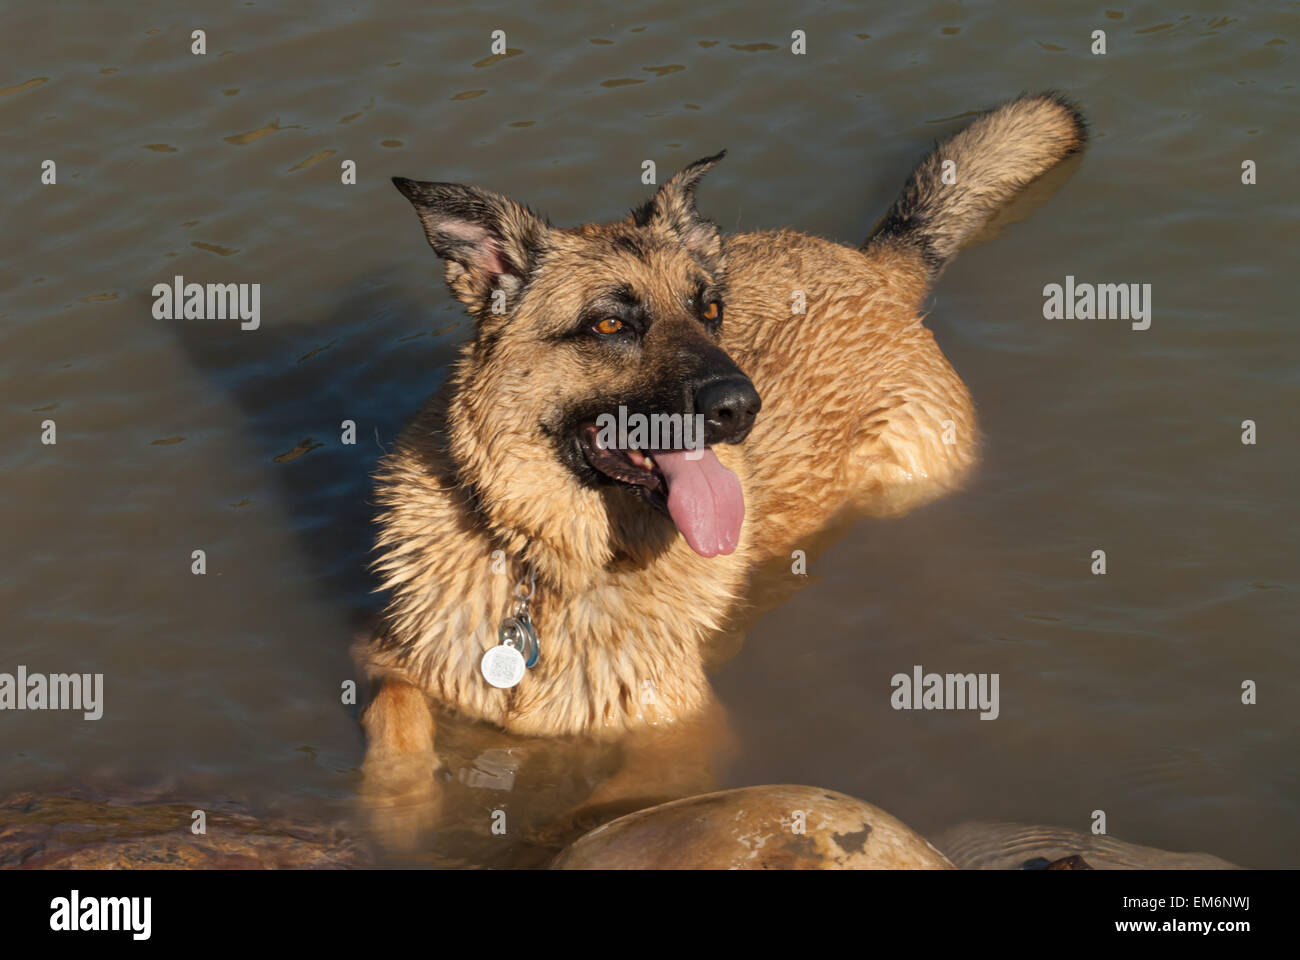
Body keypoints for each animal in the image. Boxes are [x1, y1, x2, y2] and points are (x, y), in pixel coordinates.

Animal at [356, 91, 1086, 837]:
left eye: (710, 311)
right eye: (610, 325)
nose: (743, 406)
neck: (547, 565)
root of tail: (874, 266)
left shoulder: (683, 740)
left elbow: (589, 818)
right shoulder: (389, 657)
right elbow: (393, 711)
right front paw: (399, 806)